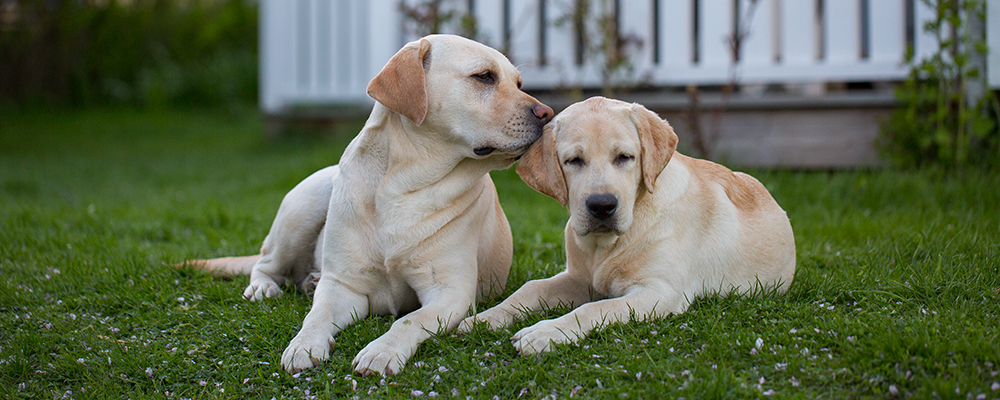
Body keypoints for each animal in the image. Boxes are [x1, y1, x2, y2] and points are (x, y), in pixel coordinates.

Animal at [460, 98, 796, 354]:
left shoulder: (659, 292)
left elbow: (594, 309)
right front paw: (484, 318)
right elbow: (530, 289)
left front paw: (546, 332)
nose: (601, 206)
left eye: (624, 157)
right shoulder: (580, 279)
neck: (607, 245)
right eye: (573, 161)